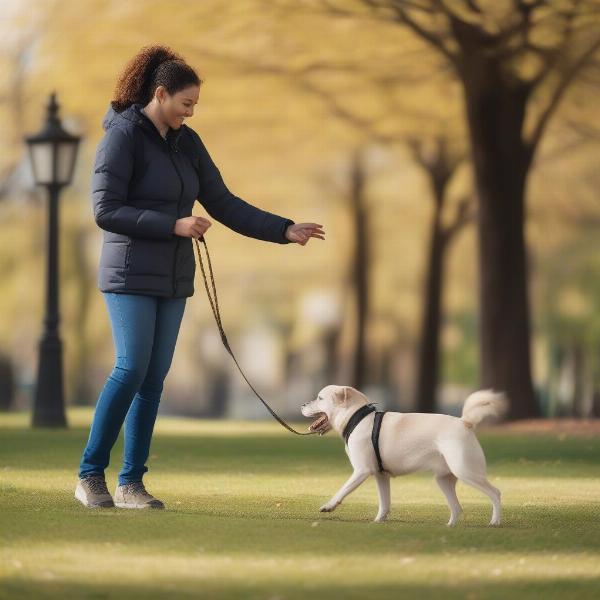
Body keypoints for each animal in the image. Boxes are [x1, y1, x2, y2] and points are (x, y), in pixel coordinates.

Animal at [300, 384, 506, 524]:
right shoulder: (381, 476)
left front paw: (329, 505)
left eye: (320, 398)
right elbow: (385, 503)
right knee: (457, 508)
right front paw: (378, 521)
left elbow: (342, 490)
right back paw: (450, 527)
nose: (302, 404)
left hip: (465, 471)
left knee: (495, 493)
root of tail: (465, 422)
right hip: (444, 479)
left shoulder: (361, 471)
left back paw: (494, 521)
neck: (357, 418)